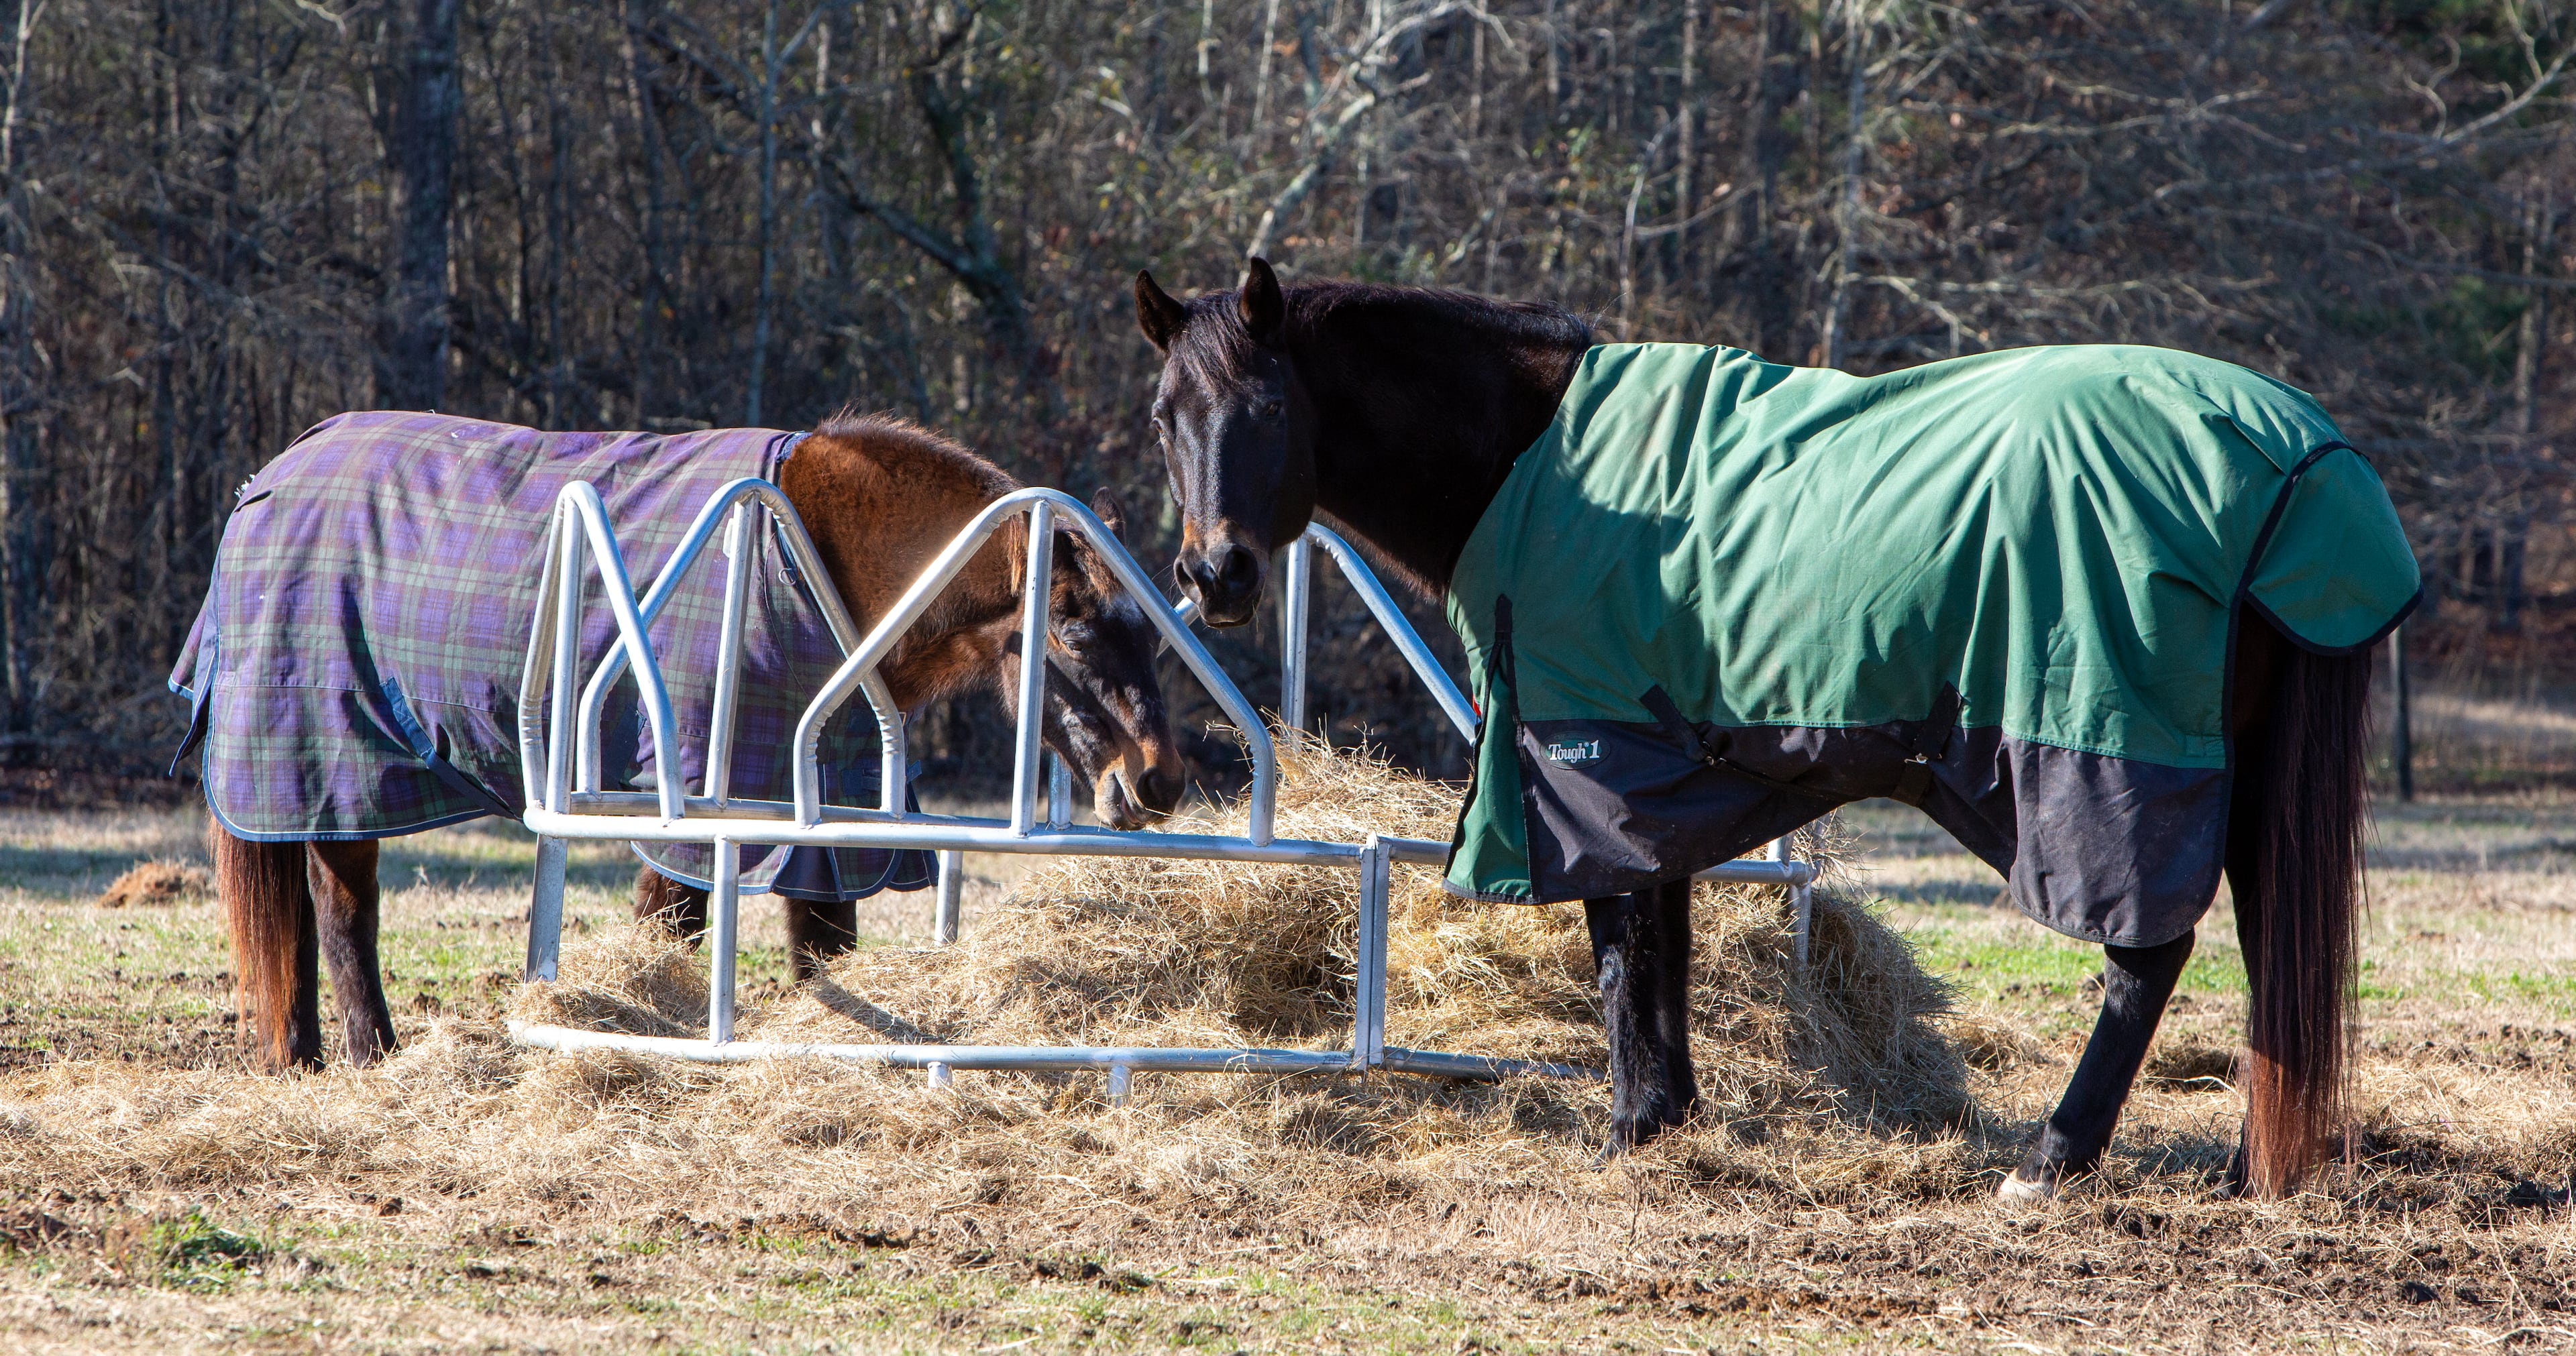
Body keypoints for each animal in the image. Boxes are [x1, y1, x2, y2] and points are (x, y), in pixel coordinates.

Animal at [175, 410, 1184, 1074]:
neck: (815, 561)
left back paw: (305, 1055)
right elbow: (675, 927)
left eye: (1152, 630)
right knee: (344, 910)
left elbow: (825, 945)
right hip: (331, 769)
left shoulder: (820, 805)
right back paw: (366, 1055)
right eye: (1068, 625)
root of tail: (265, 485)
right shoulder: (699, 797)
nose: (1158, 781)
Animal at [1131, 259, 2416, 1201]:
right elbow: (1659, 943)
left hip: (2111, 771)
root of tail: (2304, 462)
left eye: (1272, 408)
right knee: (2266, 952)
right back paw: (2255, 1165)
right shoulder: (1654, 776)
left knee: (2147, 955)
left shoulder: (1585, 765)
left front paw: (1629, 1131)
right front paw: (1666, 1120)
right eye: (1163, 417)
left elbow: (1620, 952)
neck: (1536, 466)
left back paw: (2053, 1161)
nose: (1214, 574)